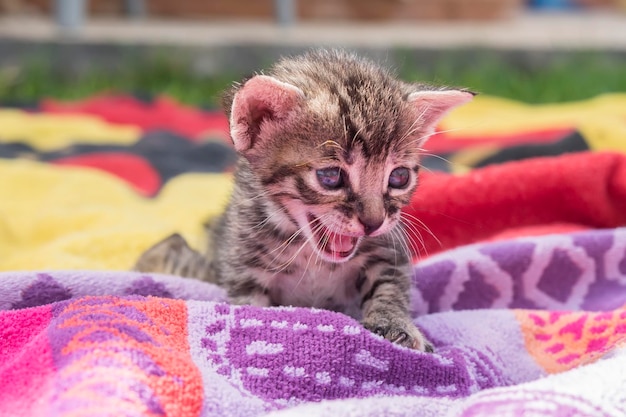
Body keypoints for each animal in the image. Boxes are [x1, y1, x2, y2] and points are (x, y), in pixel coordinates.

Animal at [134, 49, 470, 352]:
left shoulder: (388, 248)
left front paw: (395, 324)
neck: (313, 258)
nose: (373, 223)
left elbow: (390, 287)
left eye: (398, 177)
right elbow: (250, 307)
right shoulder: (243, 266)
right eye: (331, 176)